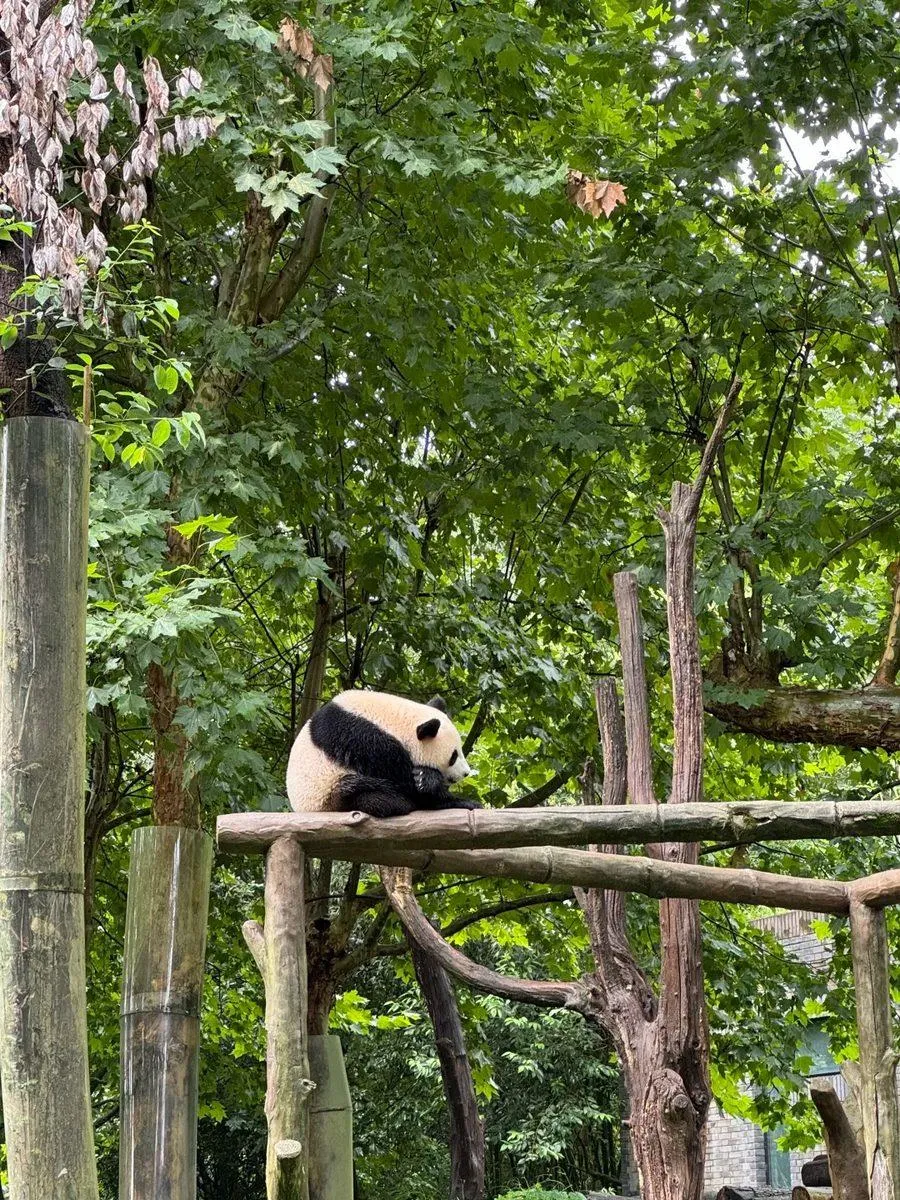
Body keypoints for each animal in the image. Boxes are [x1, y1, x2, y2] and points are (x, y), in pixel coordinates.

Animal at [286, 689, 480, 818]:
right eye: (453, 756)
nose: (465, 773)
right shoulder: (365, 741)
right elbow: (405, 782)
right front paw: (432, 784)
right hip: (329, 791)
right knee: (373, 797)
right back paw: (402, 802)